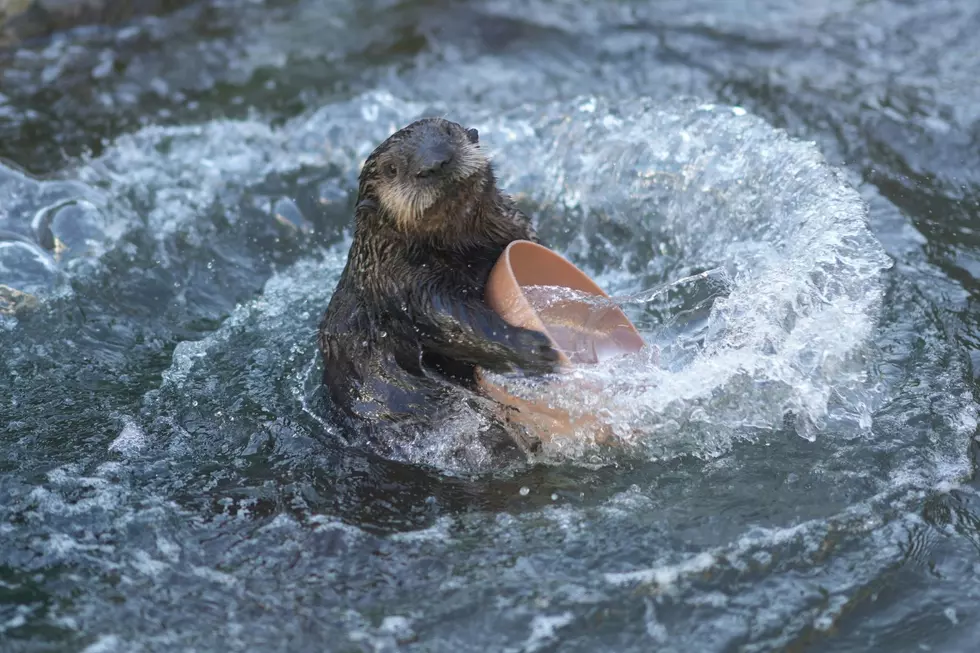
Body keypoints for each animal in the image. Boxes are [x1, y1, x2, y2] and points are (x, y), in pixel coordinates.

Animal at [317, 117, 559, 461]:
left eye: (446, 133)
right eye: (392, 168)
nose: (435, 162)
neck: (461, 251)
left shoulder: (515, 229)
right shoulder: (406, 283)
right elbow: (450, 320)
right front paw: (533, 346)